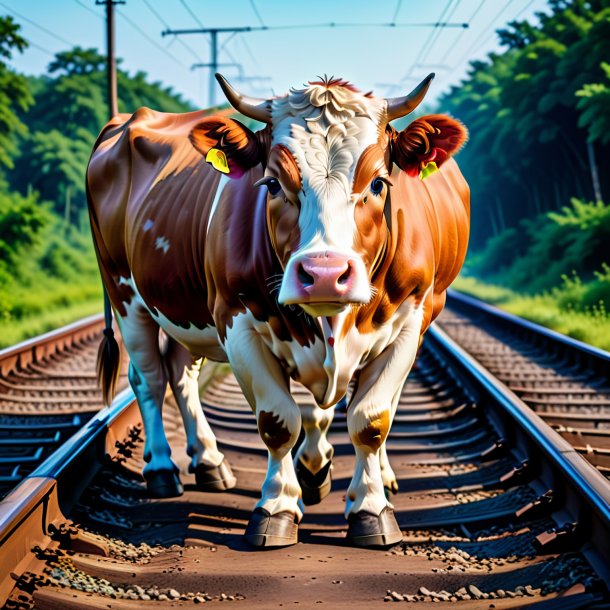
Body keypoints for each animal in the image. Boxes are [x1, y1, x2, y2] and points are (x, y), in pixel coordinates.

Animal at [85, 73, 468, 548]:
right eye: (272, 184)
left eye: (379, 183)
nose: (324, 273)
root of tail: (125, 121)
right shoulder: (235, 321)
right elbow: (279, 420)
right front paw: (278, 507)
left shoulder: (411, 321)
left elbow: (370, 418)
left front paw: (369, 505)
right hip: (124, 289)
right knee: (149, 378)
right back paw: (161, 467)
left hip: (184, 304)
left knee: (180, 372)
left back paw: (210, 461)